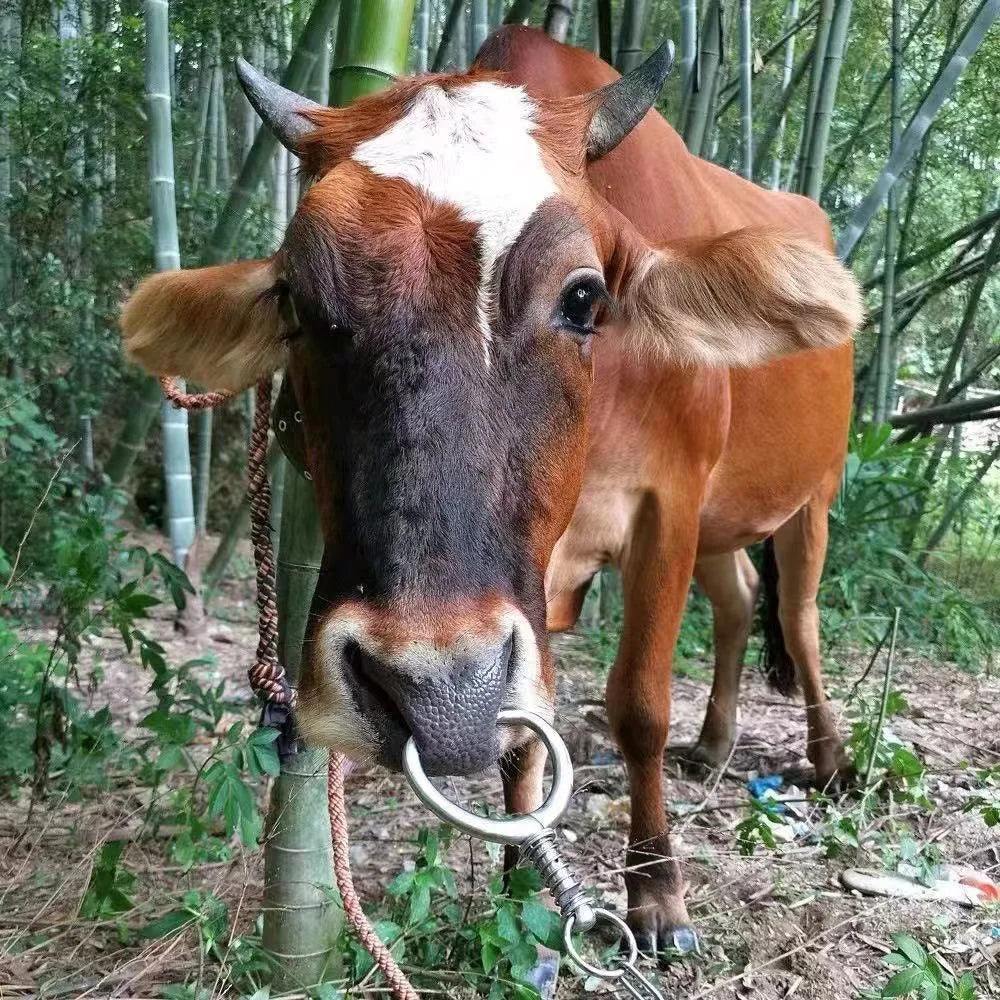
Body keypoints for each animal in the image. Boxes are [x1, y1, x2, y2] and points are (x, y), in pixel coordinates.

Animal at [121, 26, 861, 959]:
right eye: (295, 301)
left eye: (584, 297)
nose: (431, 693)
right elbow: (519, 735)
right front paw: (522, 884)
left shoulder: (671, 504)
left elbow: (639, 705)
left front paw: (657, 892)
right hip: (727, 525)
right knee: (738, 598)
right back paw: (716, 742)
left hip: (813, 495)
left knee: (796, 616)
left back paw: (831, 760)